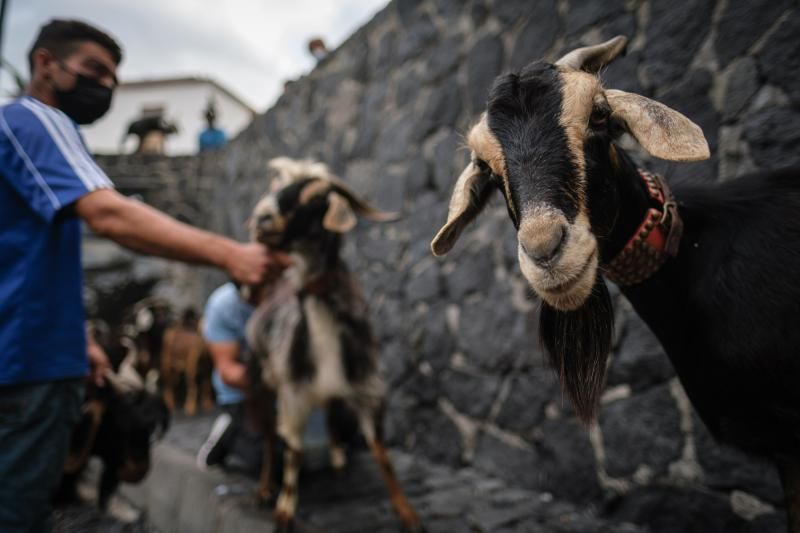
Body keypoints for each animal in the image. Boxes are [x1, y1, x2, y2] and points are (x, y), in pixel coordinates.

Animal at [245, 158, 424, 532]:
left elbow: (381, 453)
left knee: (327, 410)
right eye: (277, 189)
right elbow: (294, 451)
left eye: (314, 199)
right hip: (258, 379)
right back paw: (264, 487)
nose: (262, 218)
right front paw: (284, 511)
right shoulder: (293, 394)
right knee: (268, 436)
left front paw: (407, 512)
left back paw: (338, 456)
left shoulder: (367, 389)